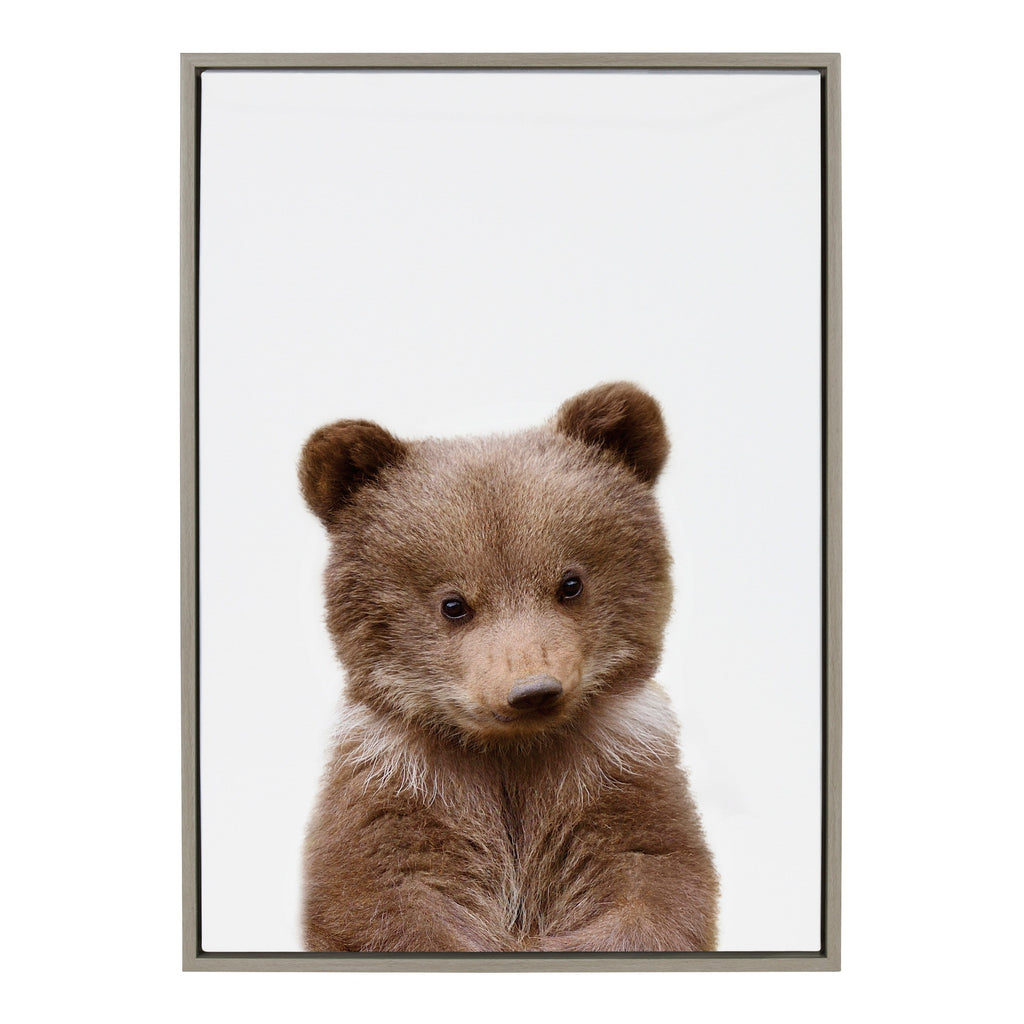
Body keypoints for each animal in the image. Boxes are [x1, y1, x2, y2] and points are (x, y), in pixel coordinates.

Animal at [298, 381, 719, 953]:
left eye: (571, 583)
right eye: (453, 604)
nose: (533, 690)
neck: (510, 753)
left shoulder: (618, 774)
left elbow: (653, 884)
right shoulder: (399, 786)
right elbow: (383, 899)